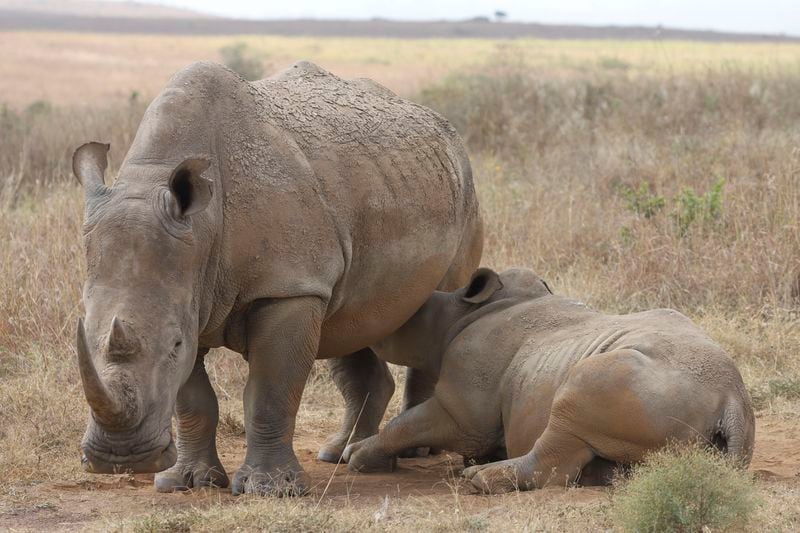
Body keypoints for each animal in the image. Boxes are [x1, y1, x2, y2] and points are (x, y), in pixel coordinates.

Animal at [72, 59, 482, 494]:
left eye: (174, 344)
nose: (120, 458)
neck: (202, 229)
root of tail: (445, 129)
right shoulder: (191, 293)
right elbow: (193, 399)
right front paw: (189, 482)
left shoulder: (288, 288)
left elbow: (270, 391)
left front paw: (271, 488)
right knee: (352, 321)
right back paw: (339, 454)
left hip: (464, 193)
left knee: (435, 308)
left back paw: (412, 453)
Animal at [346, 268, 756, 492]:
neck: (452, 316)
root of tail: (731, 399)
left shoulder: (464, 412)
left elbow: (408, 425)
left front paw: (357, 458)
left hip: (641, 386)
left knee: (571, 409)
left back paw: (479, 479)